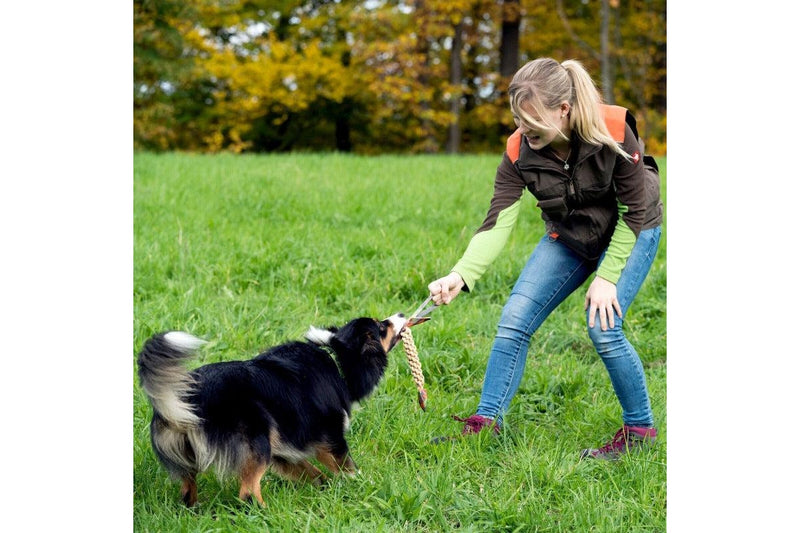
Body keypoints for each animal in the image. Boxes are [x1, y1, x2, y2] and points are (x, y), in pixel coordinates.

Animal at [136, 314, 406, 504]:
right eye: (382, 327)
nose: (402, 314)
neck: (339, 354)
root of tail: (189, 395)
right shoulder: (331, 436)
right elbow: (345, 465)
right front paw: (361, 483)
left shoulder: (284, 448)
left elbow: (310, 472)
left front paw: (325, 487)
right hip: (257, 442)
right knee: (247, 492)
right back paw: (263, 513)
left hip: (187, 452)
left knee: (187, 490)